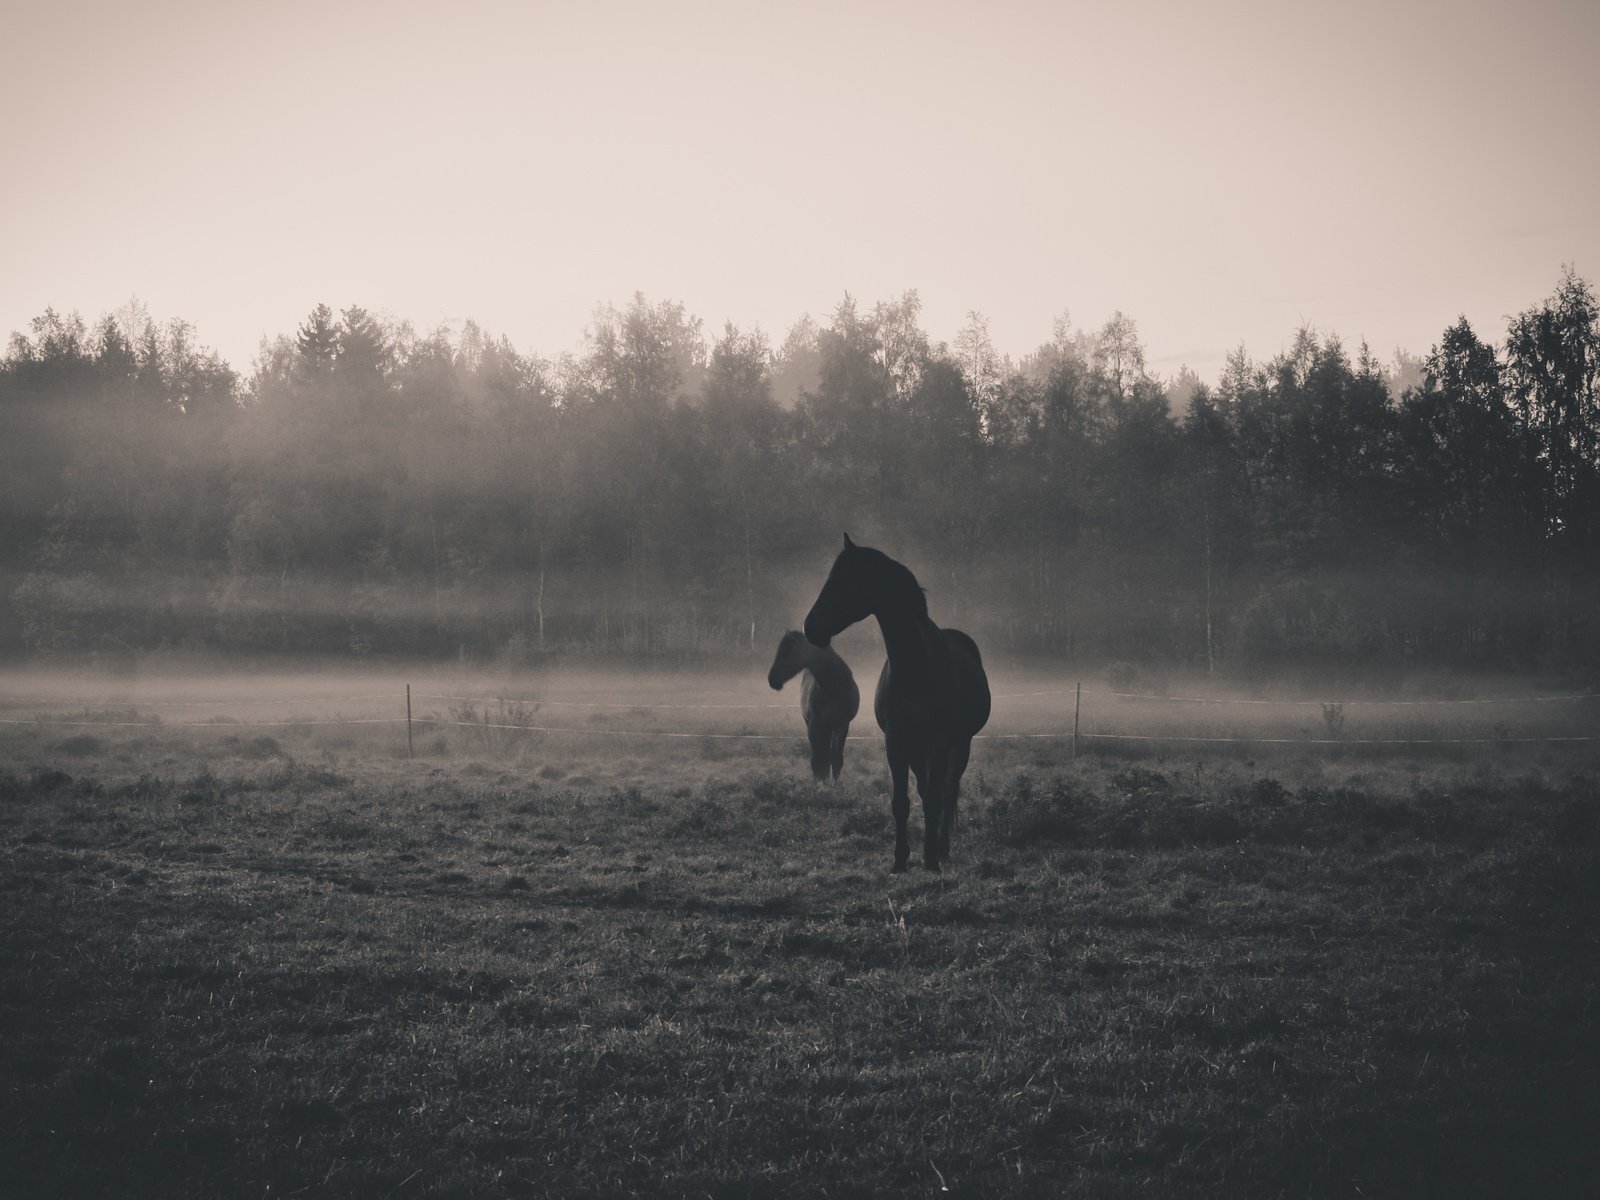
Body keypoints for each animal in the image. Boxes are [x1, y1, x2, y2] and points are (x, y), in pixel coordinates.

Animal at [764, 633, 857, 784]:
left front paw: (834, 785)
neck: (833, 685)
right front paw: (820, 783)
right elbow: (818, 758)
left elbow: (836, 758)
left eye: (789, 651)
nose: (772, 679)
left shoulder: (842, 725)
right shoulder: (814, 724)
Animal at [800, 537, 985, 876]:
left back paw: (942, 847)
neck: (915, 666)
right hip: (917, 747)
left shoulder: (939, 742)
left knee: (947, 792)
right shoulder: (896, 741)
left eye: (844, 580)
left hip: (960, 743)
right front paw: (900, 859)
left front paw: (931, 859)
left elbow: (935, 798)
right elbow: (902, 802)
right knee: (928, 789)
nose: (811, 627)